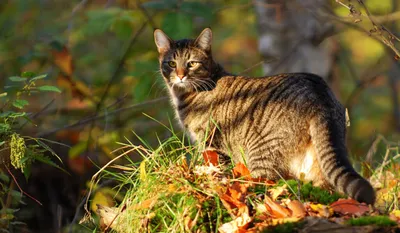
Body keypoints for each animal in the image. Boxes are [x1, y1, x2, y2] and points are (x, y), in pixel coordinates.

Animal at [152, 28, 376, 205]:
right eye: (171, 63)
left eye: (191, 63)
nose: (180, 75)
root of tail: (319, 92)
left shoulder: (210, 143)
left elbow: (215, 170)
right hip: (316, 160)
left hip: (261, 155)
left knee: (271, 187)